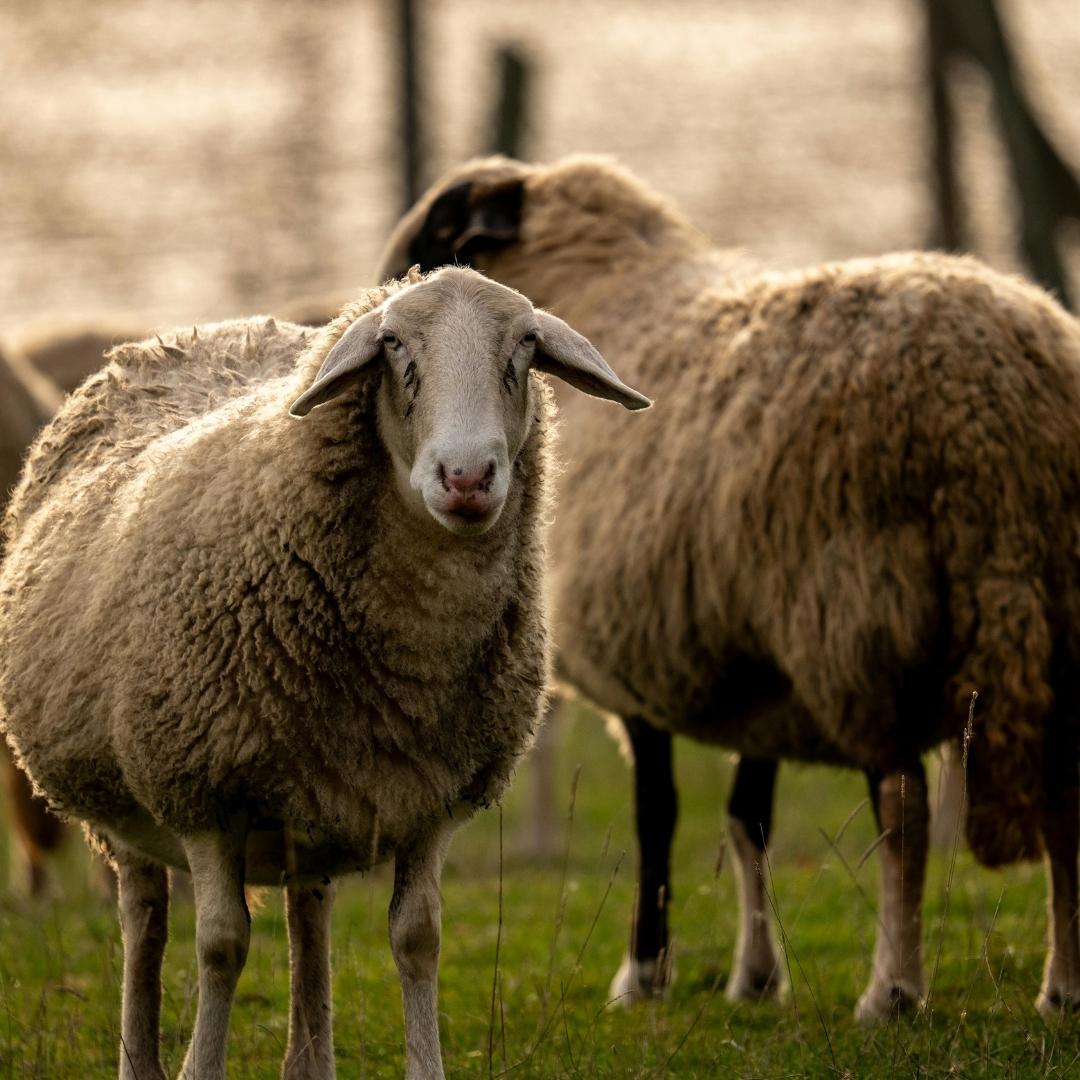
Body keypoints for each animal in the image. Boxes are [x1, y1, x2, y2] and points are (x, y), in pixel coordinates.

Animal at [0, 265, 649, 1080]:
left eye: (524, 348)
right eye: (394, 347)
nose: (467, 477)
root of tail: (193, 333)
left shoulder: (431, 800)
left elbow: (419, 938)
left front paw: (426, 1065)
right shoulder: (201, 794)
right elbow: (221, 947)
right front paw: (199, 1067)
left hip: (309, 800)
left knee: (307, 913)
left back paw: (309, 1060)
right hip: (123, 804)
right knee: (144, 919)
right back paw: (140, 1060)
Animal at [379, 154, 1080, 1022]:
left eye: (441, 238)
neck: (599, 288)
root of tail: (998, 416)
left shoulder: (637, 659)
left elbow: (657, 817)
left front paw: (643, 974)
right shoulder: (749, 663)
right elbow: (749, 820)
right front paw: (755, 978)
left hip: (859, 622)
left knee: (903, 805)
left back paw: (893, 988)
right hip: (1053, 614)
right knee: (1064, 797)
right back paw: (1063, 985)